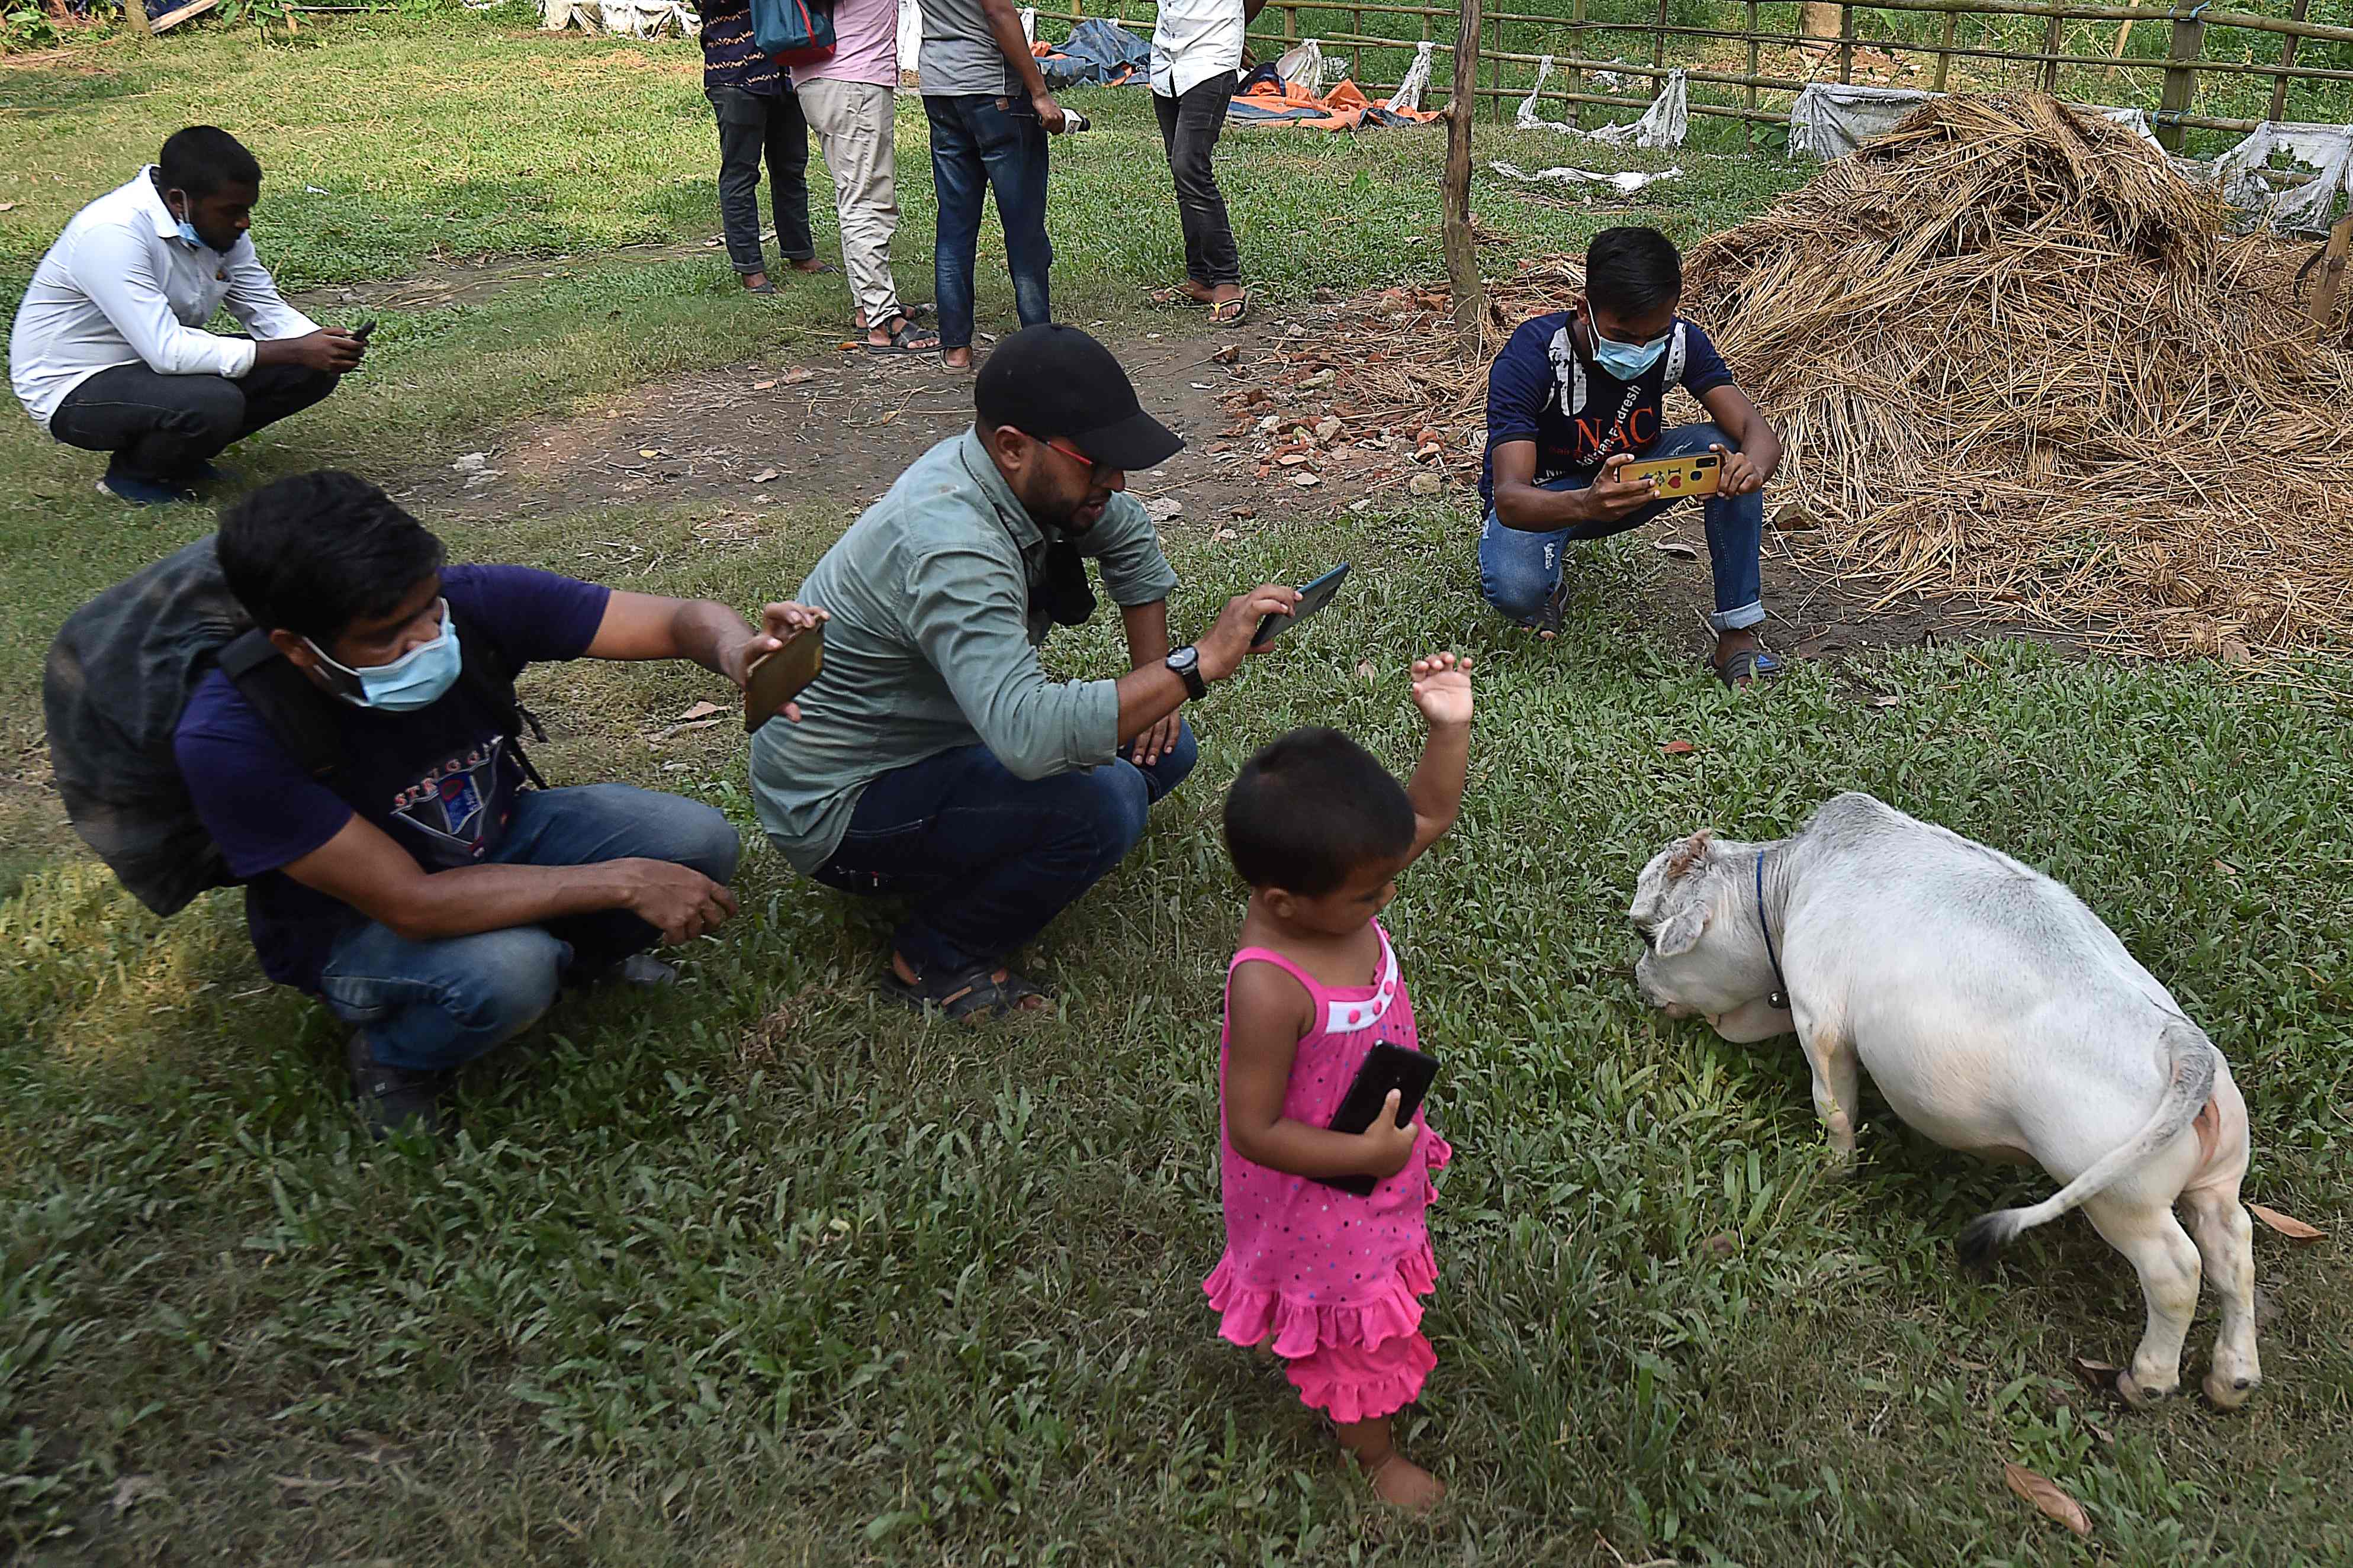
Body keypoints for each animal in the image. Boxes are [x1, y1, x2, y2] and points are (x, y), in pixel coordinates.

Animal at [1637, 799, 2259, 1410]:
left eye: (1645, 936)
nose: (1640, 981)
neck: (1792, 882)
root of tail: (2179, 1041)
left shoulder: (1820, 1022)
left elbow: (1834, 1109)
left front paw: (1831, 1171)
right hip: (2215, 1182)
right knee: (2234, 1247)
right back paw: (2232, 1376)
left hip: (2122, 1200)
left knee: (2177, 1271)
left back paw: (2147, 1379)